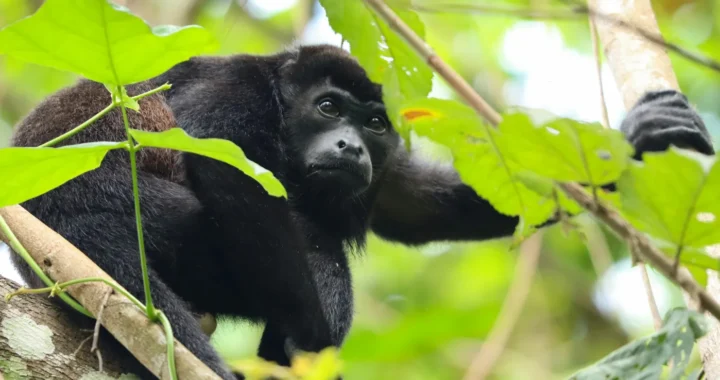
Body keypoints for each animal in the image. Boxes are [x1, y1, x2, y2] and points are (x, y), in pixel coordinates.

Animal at [9, 43, 716, 378]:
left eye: (374, 123)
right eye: (328, 108)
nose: (350, 145)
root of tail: (55, 222)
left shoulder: (386, 165)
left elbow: (419, 207)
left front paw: (635, 143)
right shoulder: (233, 94)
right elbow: (224, 170)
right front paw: (312, 335)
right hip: (142, 216)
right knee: (314, 250)